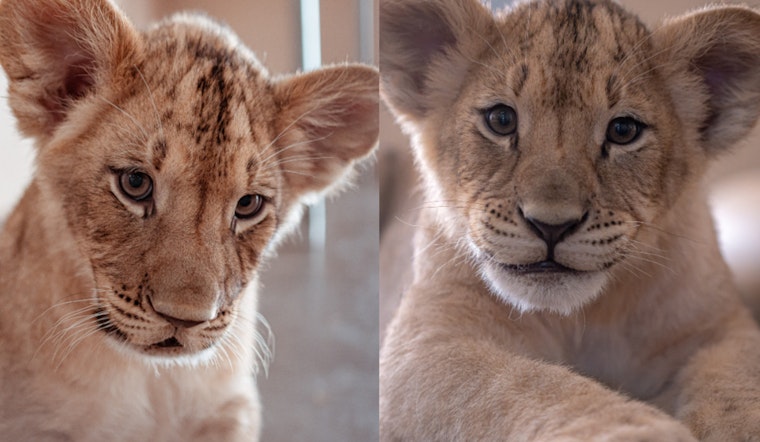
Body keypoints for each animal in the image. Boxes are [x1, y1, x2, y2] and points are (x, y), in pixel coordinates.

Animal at [379, 0, 760, 439]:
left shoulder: (722, 328)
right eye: (501, 120)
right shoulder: (427, 342)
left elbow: (737, 392)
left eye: (623, 130)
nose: (552, 226)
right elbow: (531, 386)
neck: (579, 318)